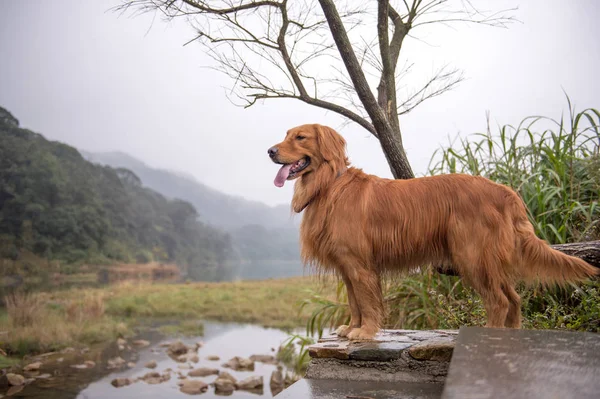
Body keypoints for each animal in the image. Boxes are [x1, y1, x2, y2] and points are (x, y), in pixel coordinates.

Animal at [268, 122, 600, 340]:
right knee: (514, 298)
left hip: (472, 256)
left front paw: (365, 332)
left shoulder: (360, 265)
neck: (328, 186)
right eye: (285, 135)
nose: (270, 151)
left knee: (500, 301)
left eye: (300, 137)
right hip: (488, 260)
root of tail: (504, 191)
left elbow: (367, 302)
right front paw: (352, 327)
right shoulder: (348, 267)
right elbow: (354, 302)